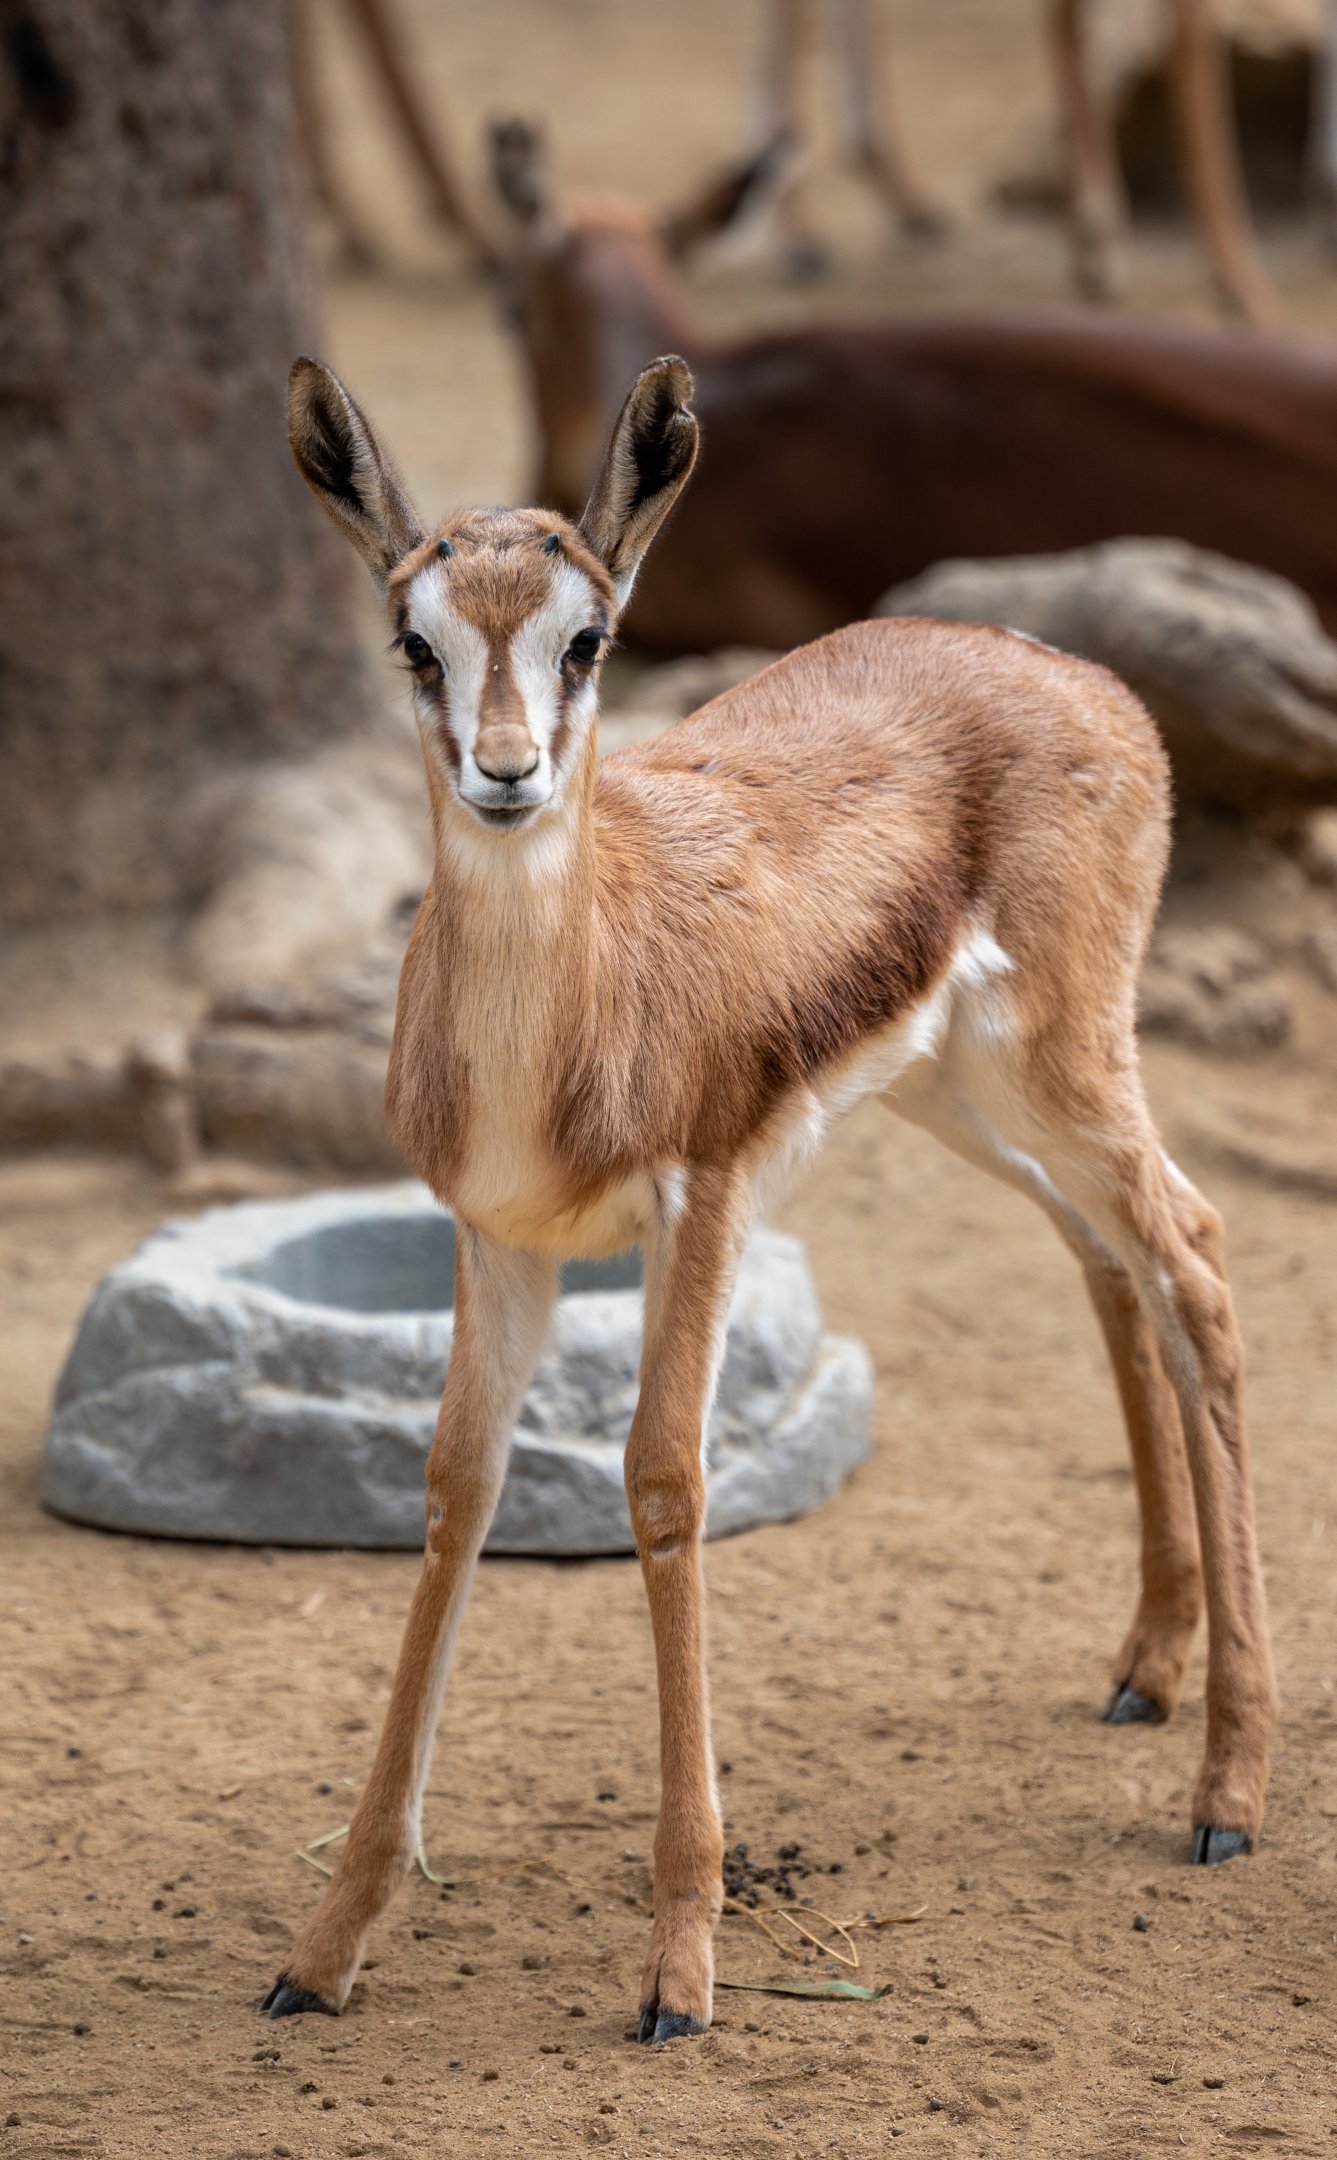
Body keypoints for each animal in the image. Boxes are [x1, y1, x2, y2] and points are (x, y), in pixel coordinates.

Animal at [261, 352, 1278, 2040]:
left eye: (586, 638)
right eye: (416, 639)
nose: (504, 774)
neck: (579, 1002)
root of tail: (1079, 679)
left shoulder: (708, 1204)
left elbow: (664, 1482)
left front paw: (680, 1966)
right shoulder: (498, 1244)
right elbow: (457, 1489)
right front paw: (327, 1942)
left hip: (1060, 1070)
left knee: (1191, 1253)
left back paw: (1229, 1793)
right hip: (966, 1101)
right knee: (1110, 1259)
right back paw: (1147, 1668)